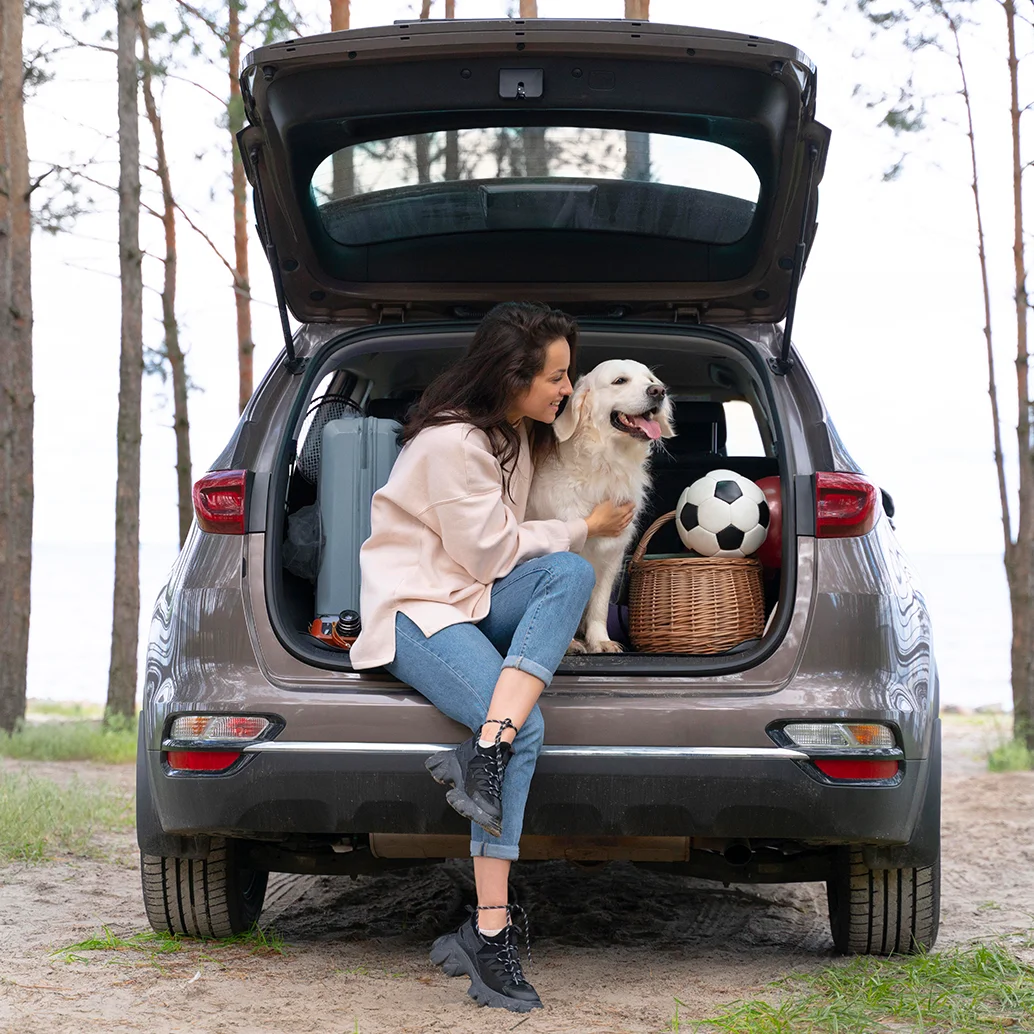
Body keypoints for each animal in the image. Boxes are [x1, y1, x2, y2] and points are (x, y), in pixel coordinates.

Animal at [529, 359, 674, 649]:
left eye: (651, 379)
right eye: (620, 381)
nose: (659, 391)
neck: (606, 463)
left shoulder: (612, 554)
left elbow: (599, 603)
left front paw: (600, 641)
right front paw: (569, 645)